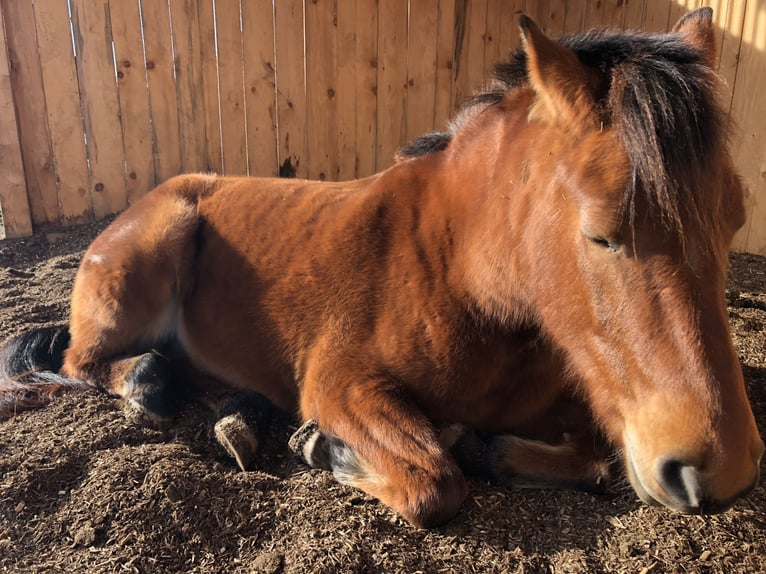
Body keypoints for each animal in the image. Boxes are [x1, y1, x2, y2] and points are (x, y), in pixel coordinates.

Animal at [0, 10, 760, 532]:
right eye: (602, 235)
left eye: (734, 222)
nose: (722, 473)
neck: (462, 275)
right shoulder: (345, 384)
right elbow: (435, 482)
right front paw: (323, 447)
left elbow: (595, 457)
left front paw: (485, 446)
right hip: (149, 259)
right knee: (82, 362)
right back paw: (150, 386)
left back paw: (237, 416)